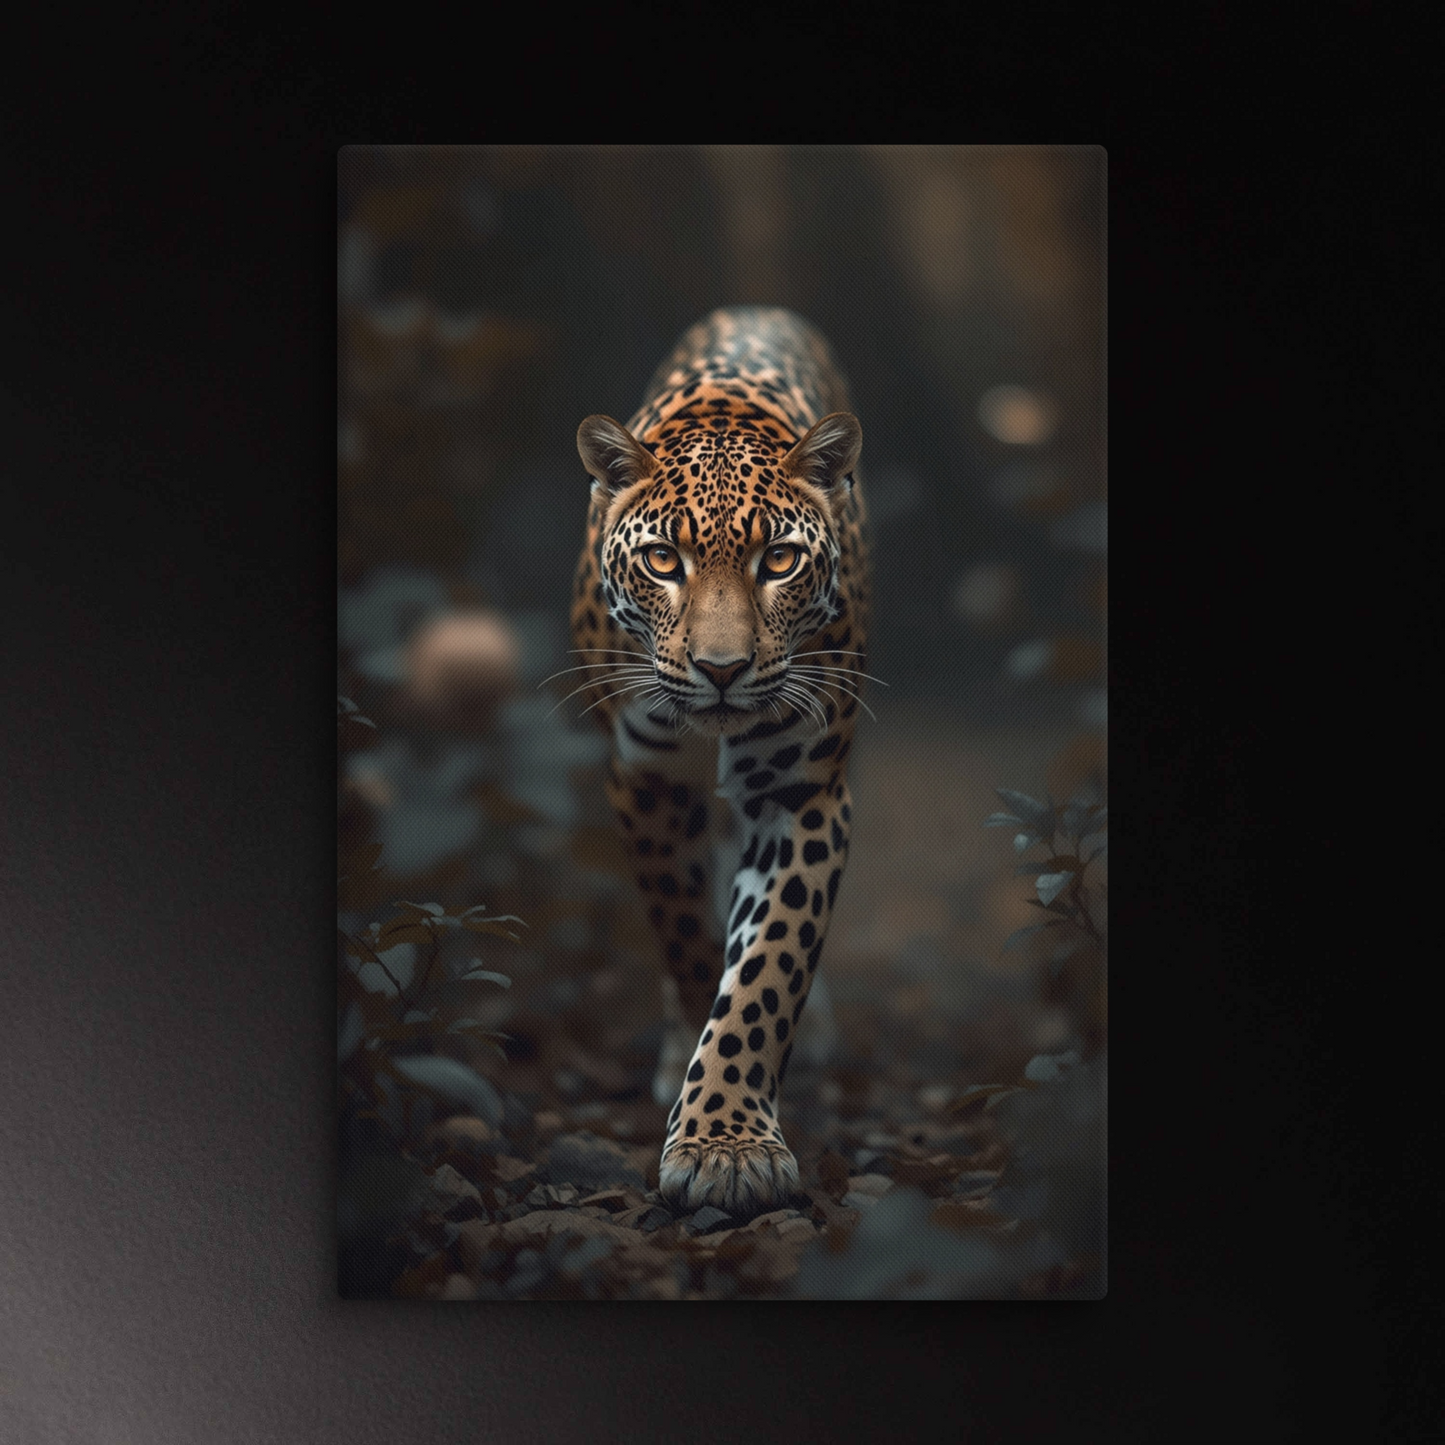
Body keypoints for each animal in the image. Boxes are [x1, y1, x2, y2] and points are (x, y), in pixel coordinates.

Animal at [568, 306, 871, 1218]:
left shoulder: (802, 791)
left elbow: (768, 964)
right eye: (664, 561)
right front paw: (703, 1104)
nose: (723, 668)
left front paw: (726, 1142)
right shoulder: (647, 779)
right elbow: (688, 935)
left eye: (779, 561)